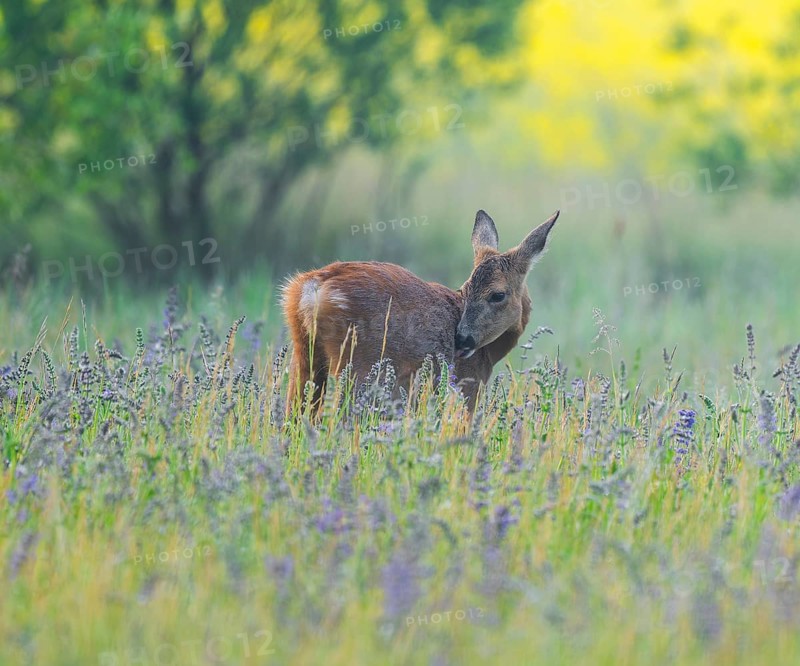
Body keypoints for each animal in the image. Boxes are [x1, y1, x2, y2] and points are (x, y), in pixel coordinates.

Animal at [281, 209, 559, 416]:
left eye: (497, 295)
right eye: (465, 289)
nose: (461, 339)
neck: (488, 355)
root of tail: (313, 287)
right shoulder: (467, 387)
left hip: (305, 354)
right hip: (360, 367)